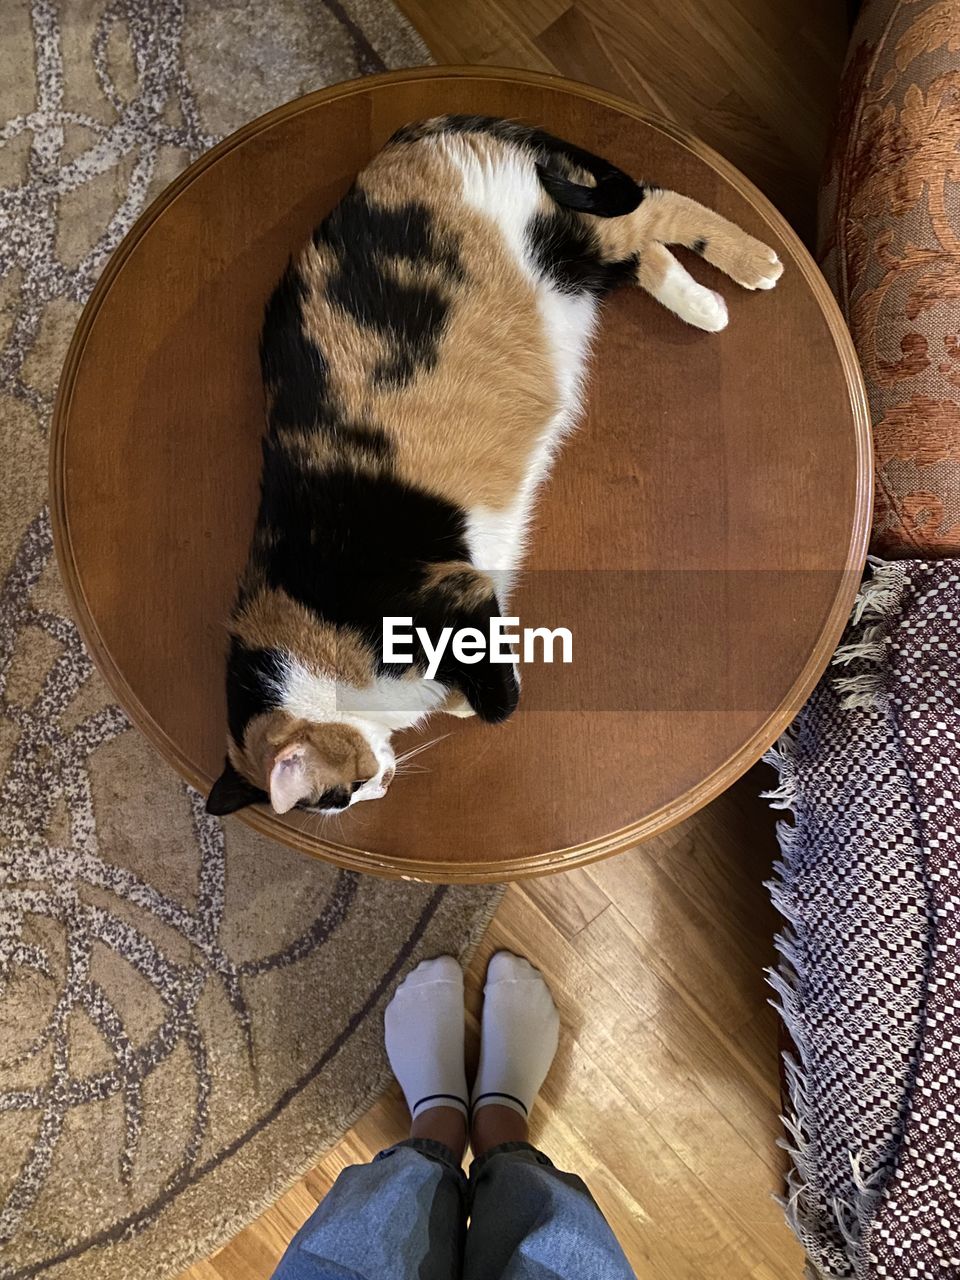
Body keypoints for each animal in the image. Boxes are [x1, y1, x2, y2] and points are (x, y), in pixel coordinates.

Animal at [207, 117, 783, 819]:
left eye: (337, 794)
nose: (380, 787)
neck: (305, 635)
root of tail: (410, 140)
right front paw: (454, 702)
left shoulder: (452, 594)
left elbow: (495, 702)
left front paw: (487, 698)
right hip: (573, 263)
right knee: (638, 242)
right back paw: (703, 304)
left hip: (552, 229)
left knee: (655, 203)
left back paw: (756, 265)